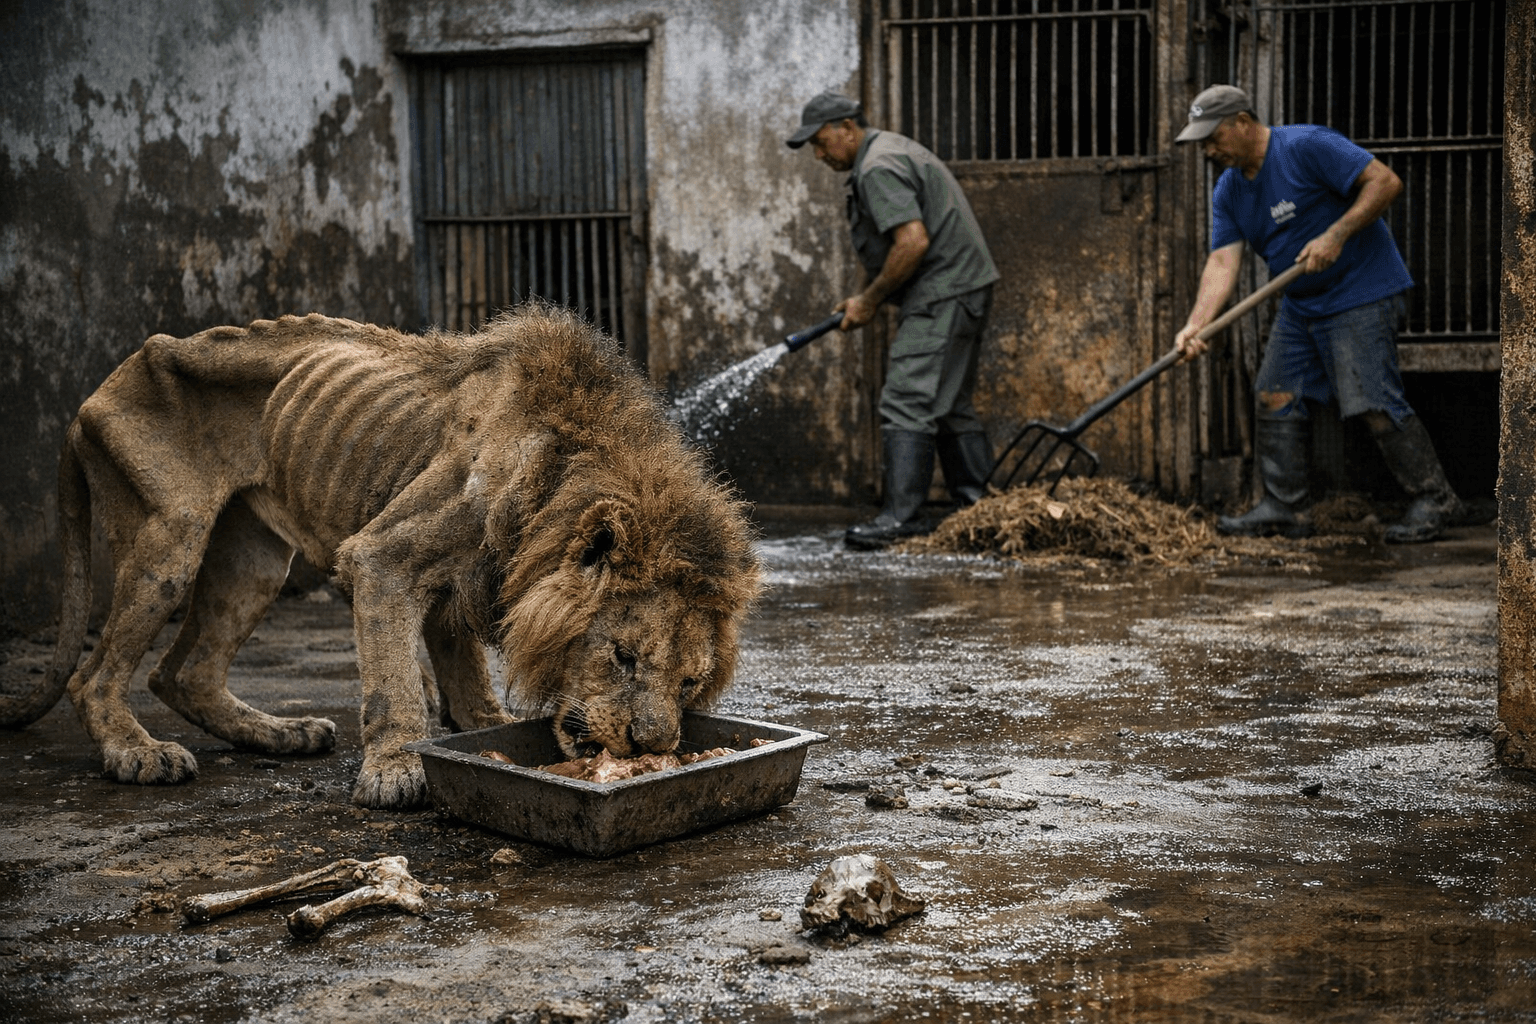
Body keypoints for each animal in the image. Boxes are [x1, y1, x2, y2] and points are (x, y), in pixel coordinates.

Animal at [0, 303, 763, 809]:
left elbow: (463, 672)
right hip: (172, 535)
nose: (650, 747)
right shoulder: (383, 556)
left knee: (183, 673)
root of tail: (100, 387)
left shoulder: (465, 580)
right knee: (94, 676)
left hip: (252, 562)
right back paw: (139, 753)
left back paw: (283, 734)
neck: (561, 477)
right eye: (623, 656)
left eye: (691, 683)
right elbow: (395, 684)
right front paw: (398, 768)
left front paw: (487, 729)